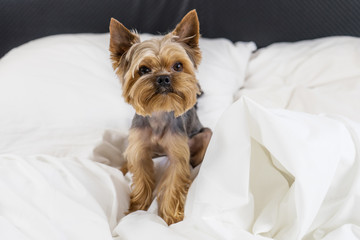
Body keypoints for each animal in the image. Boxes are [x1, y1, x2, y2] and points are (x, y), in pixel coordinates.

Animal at [108, 9, 212, 225]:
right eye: (143, 69)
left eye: (178, 66)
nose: (163, 78)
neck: (158, 113)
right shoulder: (139, 150)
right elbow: (141, 179)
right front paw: (136, 210)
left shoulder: (178, 155)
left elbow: (173, 183)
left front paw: (171, 218)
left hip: (205, 134)